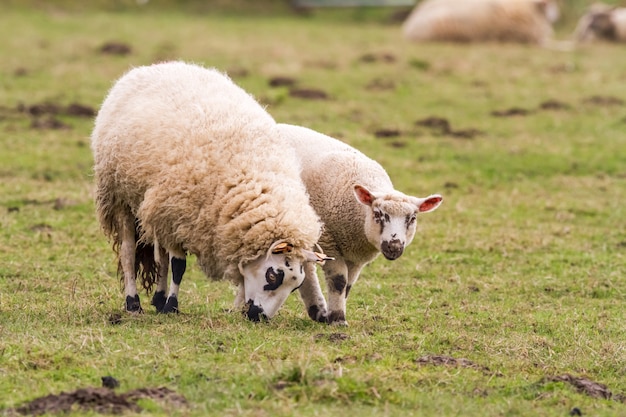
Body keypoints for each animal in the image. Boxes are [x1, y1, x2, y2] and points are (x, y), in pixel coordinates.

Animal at [92, 61, 330, 320]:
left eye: (295, 286)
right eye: (273, 275)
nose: (259, 317)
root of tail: (157, 66)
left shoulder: (175, 217)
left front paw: (167, 303)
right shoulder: (179, 213)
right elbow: (178, 266)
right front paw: (172, 307)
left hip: (156, 209)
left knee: (161, 256)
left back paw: (158, 297)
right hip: (120, 196)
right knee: (128, 254)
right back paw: (133, 303)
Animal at [276, 123, 442, 324]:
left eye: (412, 218)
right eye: (378, 214)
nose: (394, 247)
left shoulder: (356, 258)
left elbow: (348, 284)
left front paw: (335, 313)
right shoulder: (328, 241)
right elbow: (339, 281)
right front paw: (338, 319)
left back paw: (317, 310)